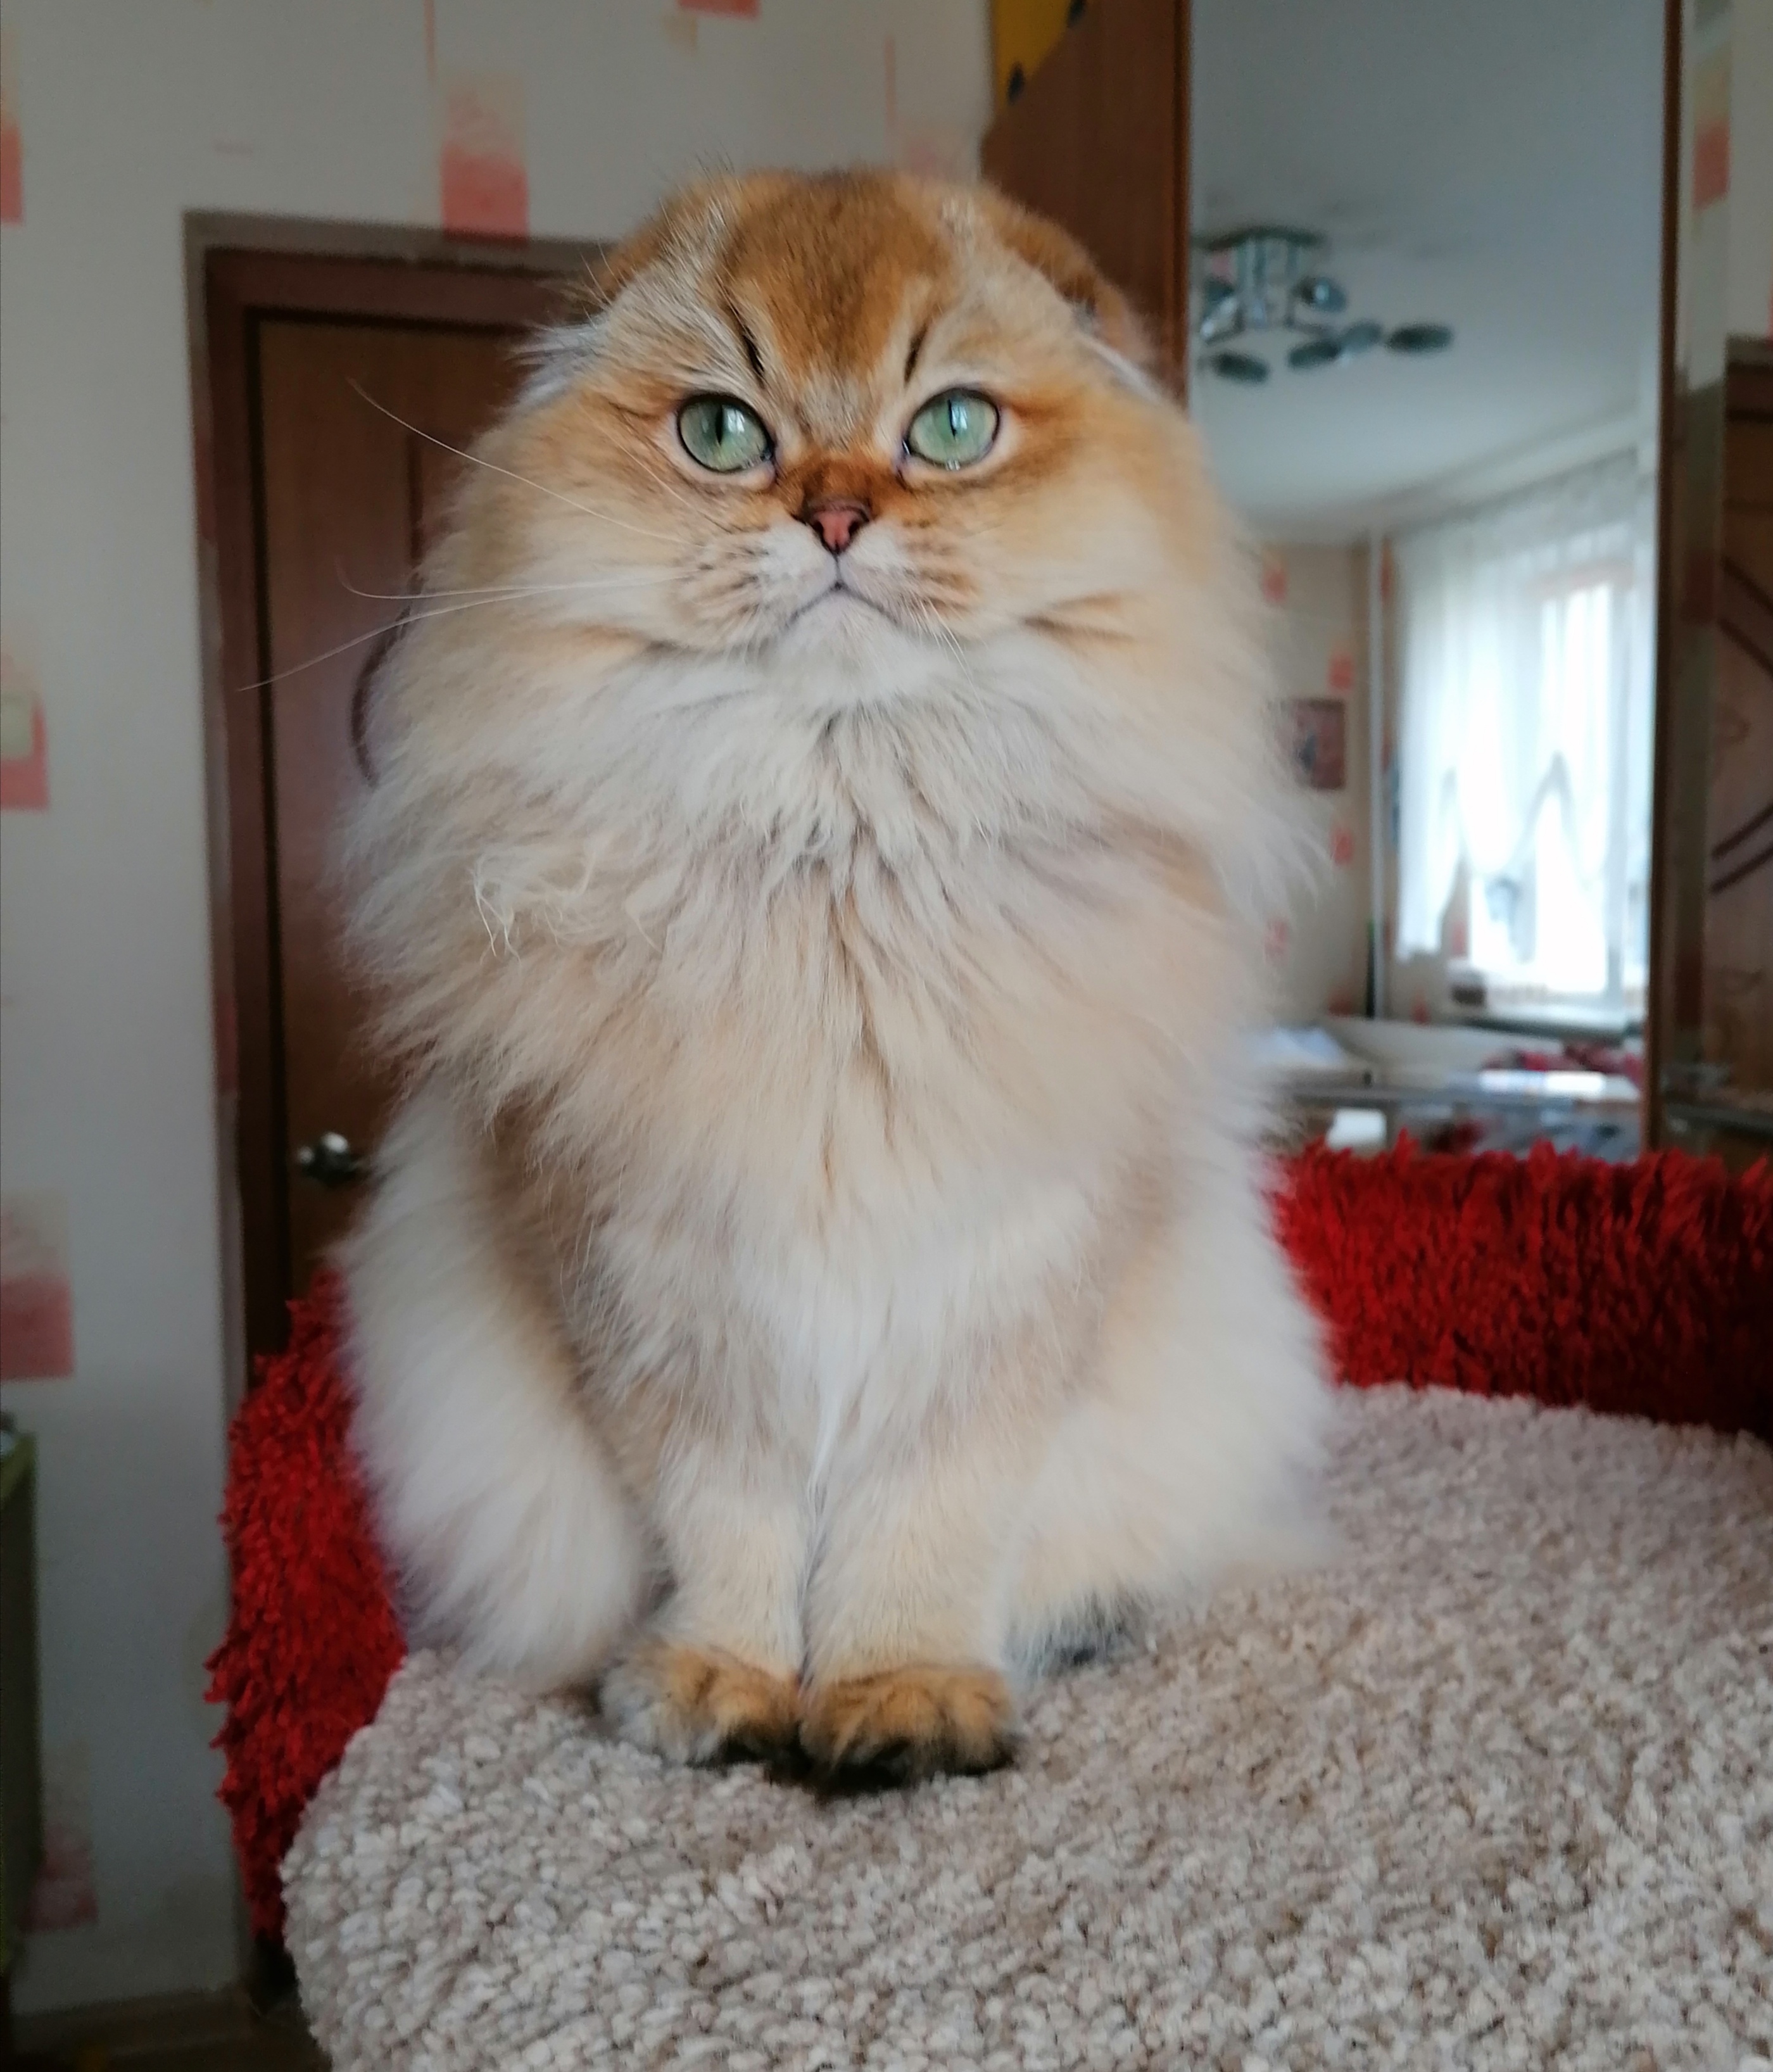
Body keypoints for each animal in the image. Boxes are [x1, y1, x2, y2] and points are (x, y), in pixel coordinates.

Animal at [339, 170, 1325, 1773]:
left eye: (954, 426)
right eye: (722, 433)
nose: (838, 515)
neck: (838, 873)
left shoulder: (1001, 1294)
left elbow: (919, 1535)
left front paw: (899, 1702)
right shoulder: (658, 1297)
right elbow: (722, 1529)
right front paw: (724, 1690)